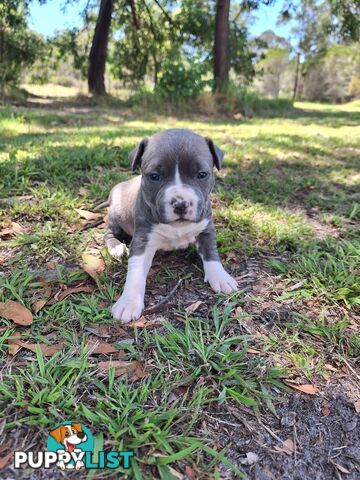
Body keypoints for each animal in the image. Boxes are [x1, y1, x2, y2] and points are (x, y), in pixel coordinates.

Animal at [105, 127, 238, 322]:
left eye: (202, 174)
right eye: (154, 176)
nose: (181, 204)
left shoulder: (206, 229)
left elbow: (211, 254)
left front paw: (221, 277)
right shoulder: (143, 239)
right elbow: (135, 271)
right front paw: (129, 302)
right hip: (116, 216)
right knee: (108, 234)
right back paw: (116, 247)